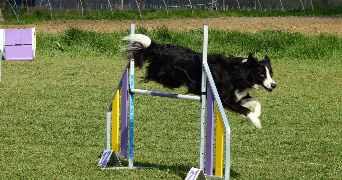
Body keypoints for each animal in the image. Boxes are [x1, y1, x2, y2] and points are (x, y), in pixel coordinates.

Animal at [123, 34, 276, 129]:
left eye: (271, 73)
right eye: (262, 74)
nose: (274, 85)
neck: (238, 73)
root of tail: (158, 46)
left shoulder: (238, 96)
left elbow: (256, 102)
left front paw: (257, 113)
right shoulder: (225, 100)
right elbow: (245, 110)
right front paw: (257, 122)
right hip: (171, 76)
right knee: (152, 75)